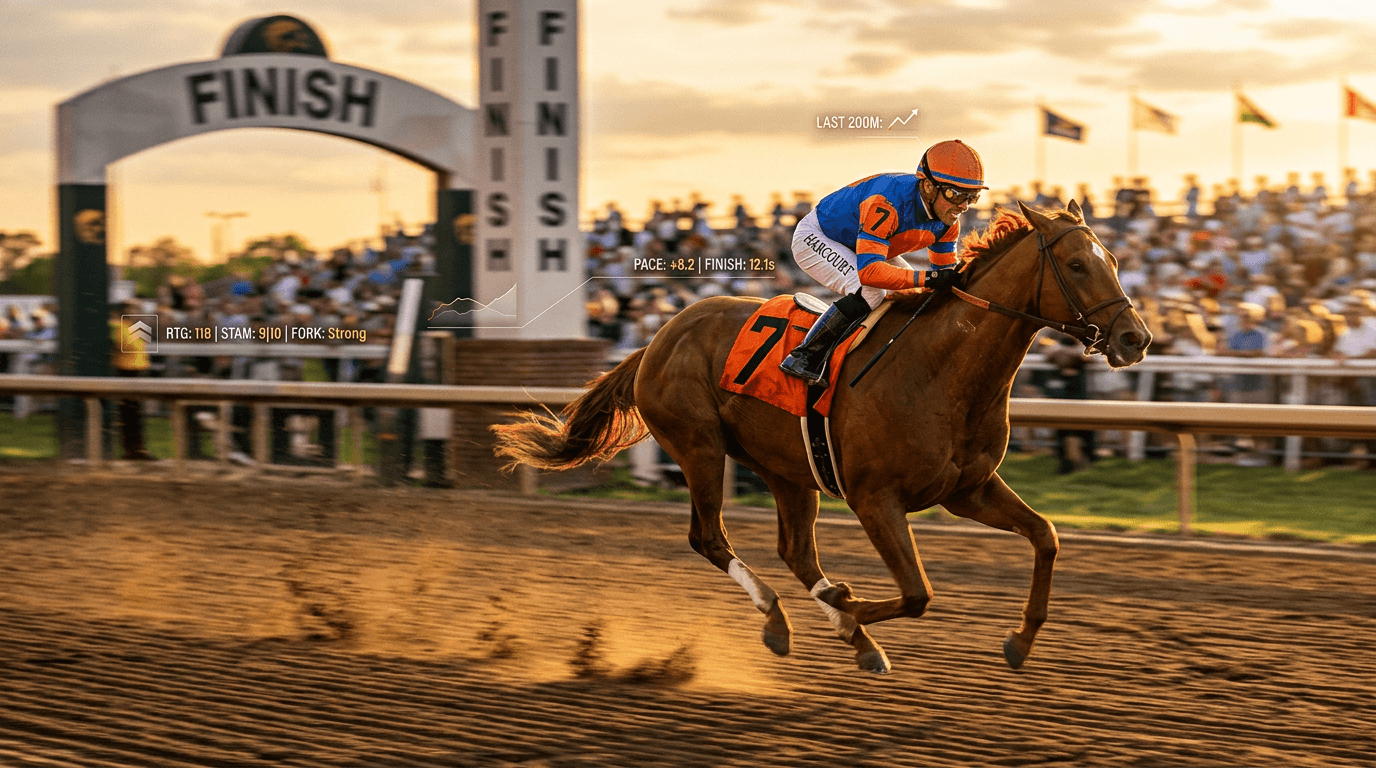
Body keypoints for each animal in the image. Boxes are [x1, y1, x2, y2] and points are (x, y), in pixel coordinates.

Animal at [492, 201, 1151, 674]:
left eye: (1115, 260)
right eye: (1076, 265)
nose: (1135, 339)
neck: (943, 371)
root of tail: (659, 336)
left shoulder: (968, 489)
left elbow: (1046, 537)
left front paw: (1020, 640)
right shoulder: (875, 499)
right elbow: (918, 593)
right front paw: (846, 605)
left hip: (786, 467)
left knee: (796, 552)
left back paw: (851, 637)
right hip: (699, 446)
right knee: (709, 538)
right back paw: (782, 620)